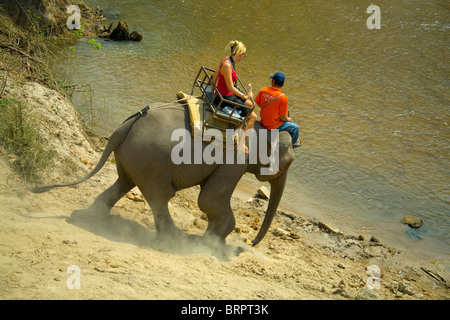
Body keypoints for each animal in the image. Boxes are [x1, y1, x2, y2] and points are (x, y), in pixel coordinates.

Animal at [29, 102, 294, 245]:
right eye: (290, 162)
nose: (252, 242)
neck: (261, 126)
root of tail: (121, 128)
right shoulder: (236, 158)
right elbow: (209, 200)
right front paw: (212, 243)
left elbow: (209, 200)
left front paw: (211, 240)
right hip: (149, 161)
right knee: (160, 196)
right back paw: (175, 239)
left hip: (132, 158)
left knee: (123, 184)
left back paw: (95, 218)